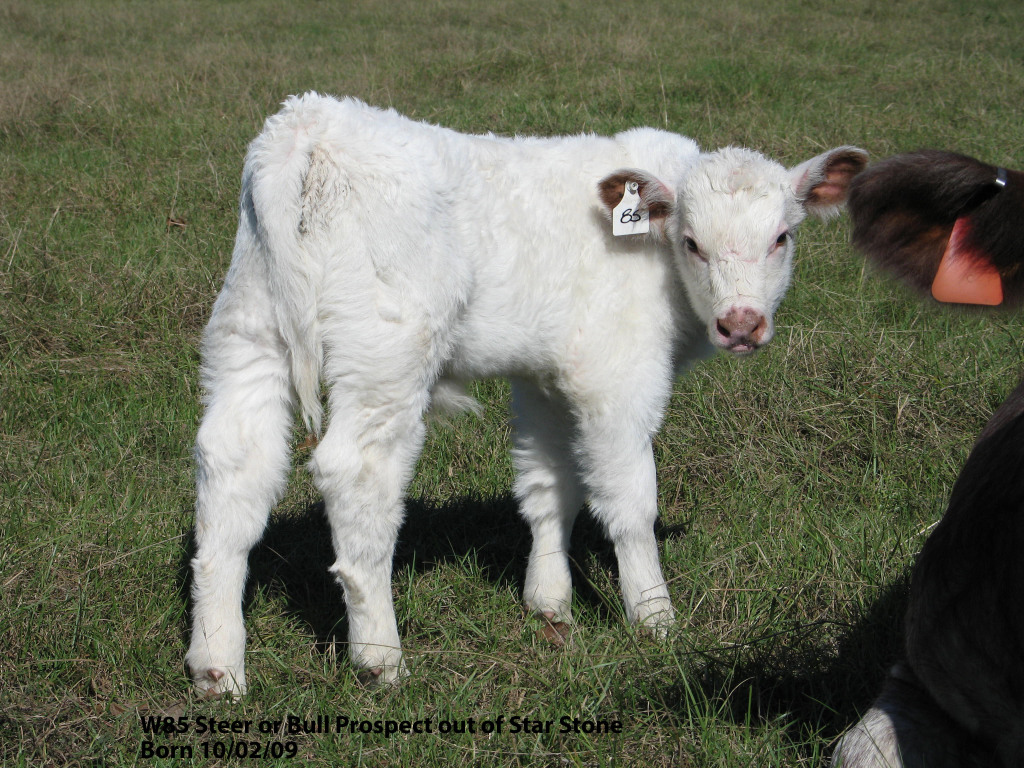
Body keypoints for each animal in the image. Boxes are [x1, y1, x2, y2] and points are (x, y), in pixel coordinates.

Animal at [186, 93, 864, 696]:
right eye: (692, 242)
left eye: (782, 237)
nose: (741, 324)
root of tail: (307, 128)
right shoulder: (619, 380)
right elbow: (631, 504)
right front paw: (655, 620)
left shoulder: (546, 378)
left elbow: (548, 483)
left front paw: (549, 602)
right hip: (385, 356)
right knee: (357, 475)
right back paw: (380, 658)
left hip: (250, 329)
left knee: (234, 468)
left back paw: (217, 667)